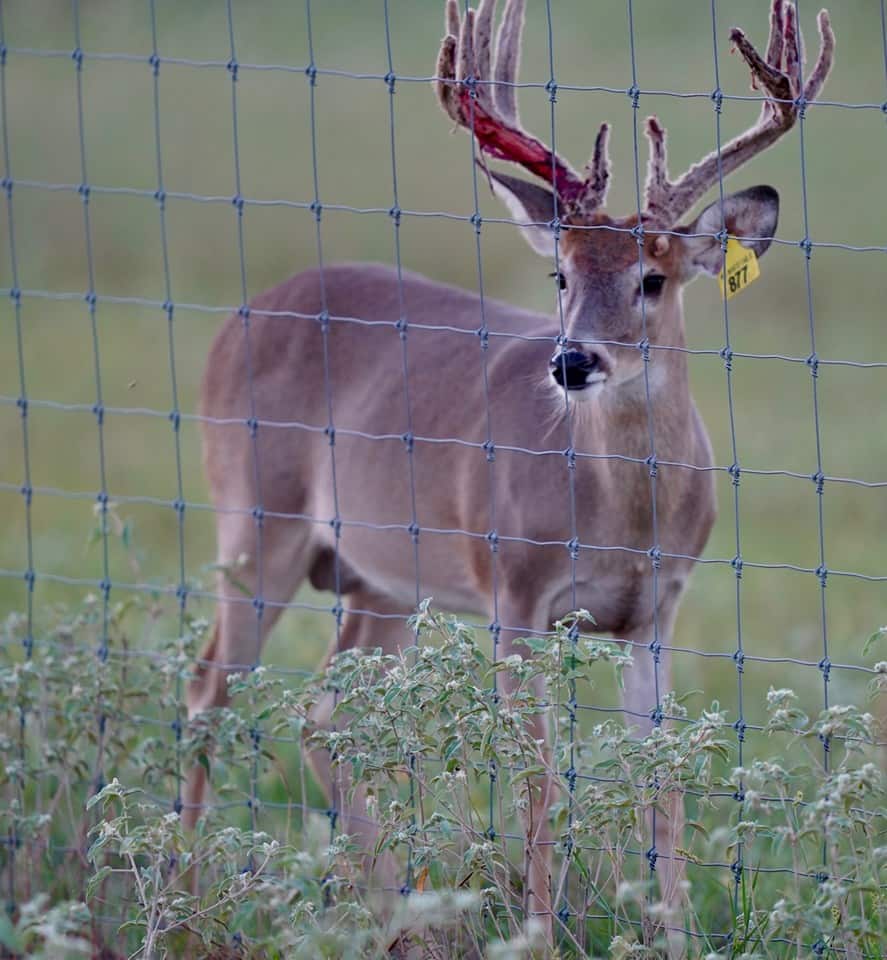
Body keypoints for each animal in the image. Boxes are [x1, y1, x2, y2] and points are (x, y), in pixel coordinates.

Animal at [183, 0, 834, 949]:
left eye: (651, 277)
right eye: (557, 273)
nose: (571, 361)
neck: (619, 517)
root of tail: (240, 317)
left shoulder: (657, 610)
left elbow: (664, 784)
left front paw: (676, 938)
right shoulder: (515, 593)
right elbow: (537, 782)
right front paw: (536, 937)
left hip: (383, 578)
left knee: (322, 713)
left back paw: (399, 916)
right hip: (255, 520)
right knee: (211, 690)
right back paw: (180, 894)